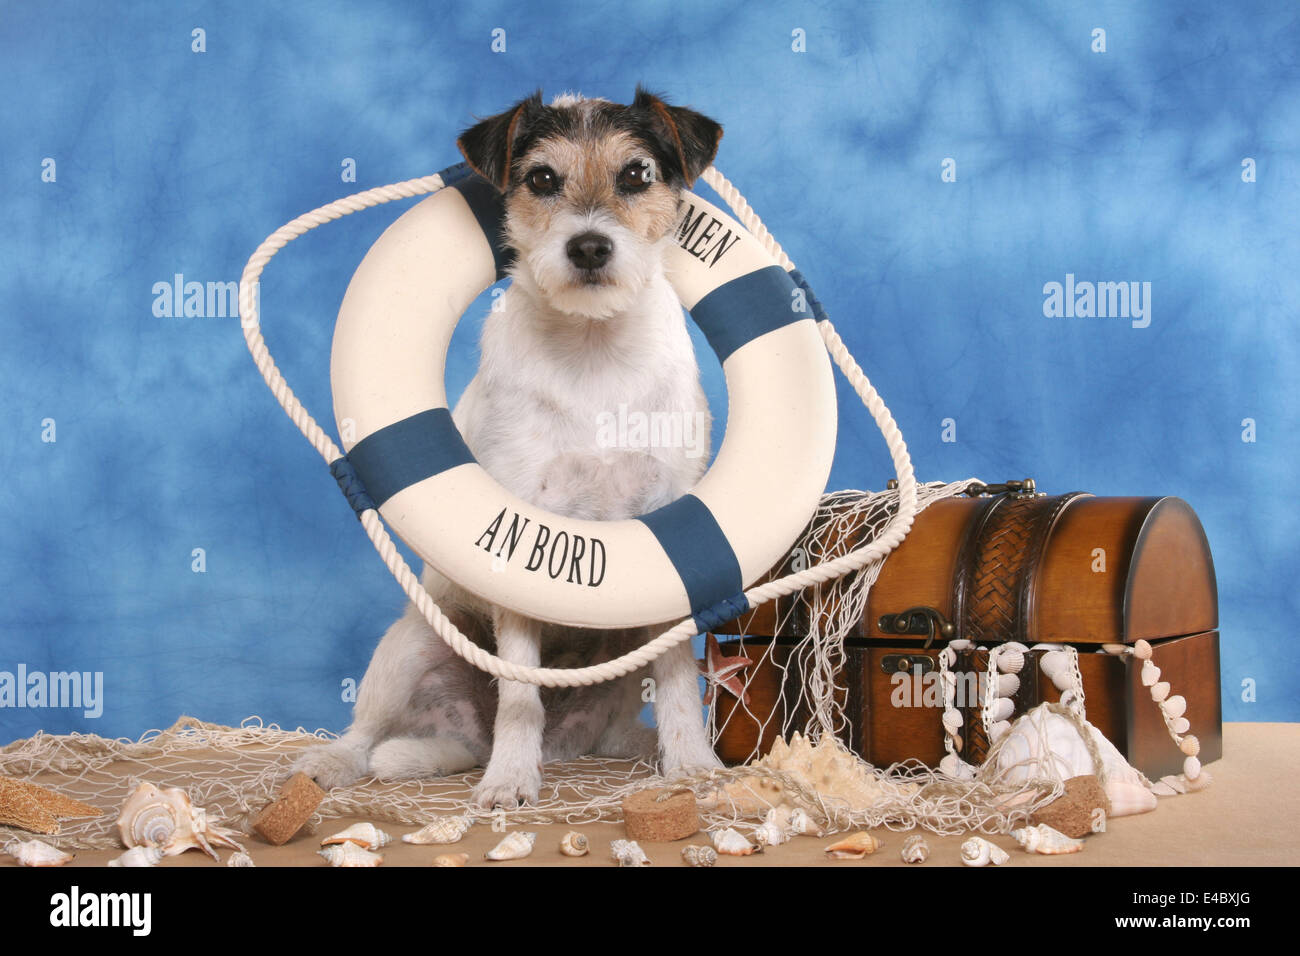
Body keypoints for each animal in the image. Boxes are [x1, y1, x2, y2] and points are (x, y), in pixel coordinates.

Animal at [295, 87, 733, 806]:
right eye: (542, 179)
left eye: (637, 173)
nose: (589, 247)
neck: (592, 348)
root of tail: (465, 739)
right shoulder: (522, 535)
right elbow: (520, 689)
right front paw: (508, 780)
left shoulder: (670, 521)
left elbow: (675, 678)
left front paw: (694, 764)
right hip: (411, 643)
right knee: (368, 730)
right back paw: (342, 762)